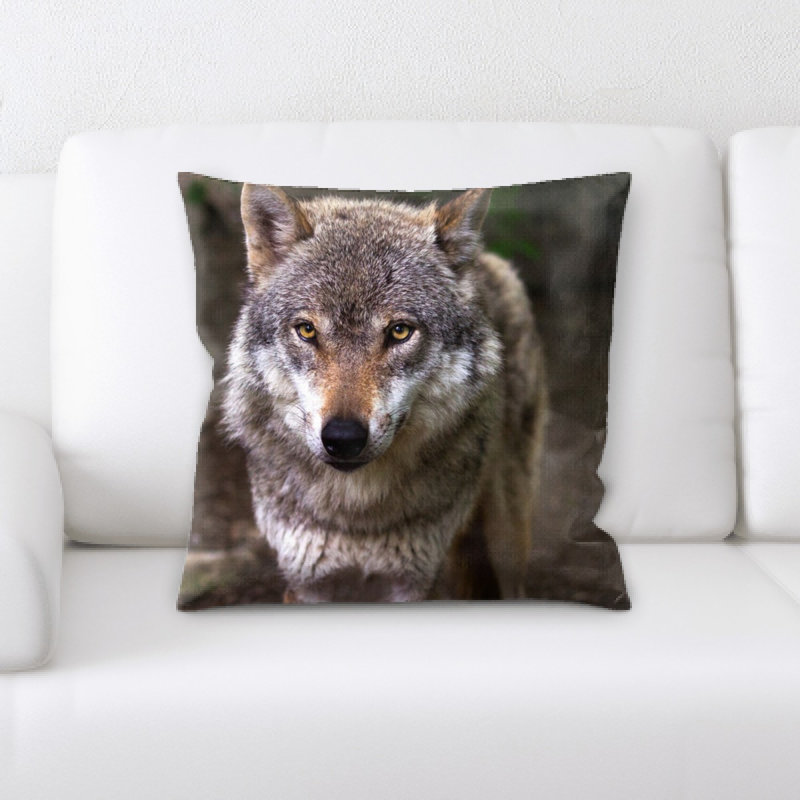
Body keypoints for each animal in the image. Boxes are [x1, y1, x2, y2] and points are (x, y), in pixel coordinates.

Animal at [221, 184, 548, 603]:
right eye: (307, 330)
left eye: (399, 331)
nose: (343, 437)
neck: (358, 515)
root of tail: (487, 261)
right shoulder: (307, 583)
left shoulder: (415, 583)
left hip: (506, 539)